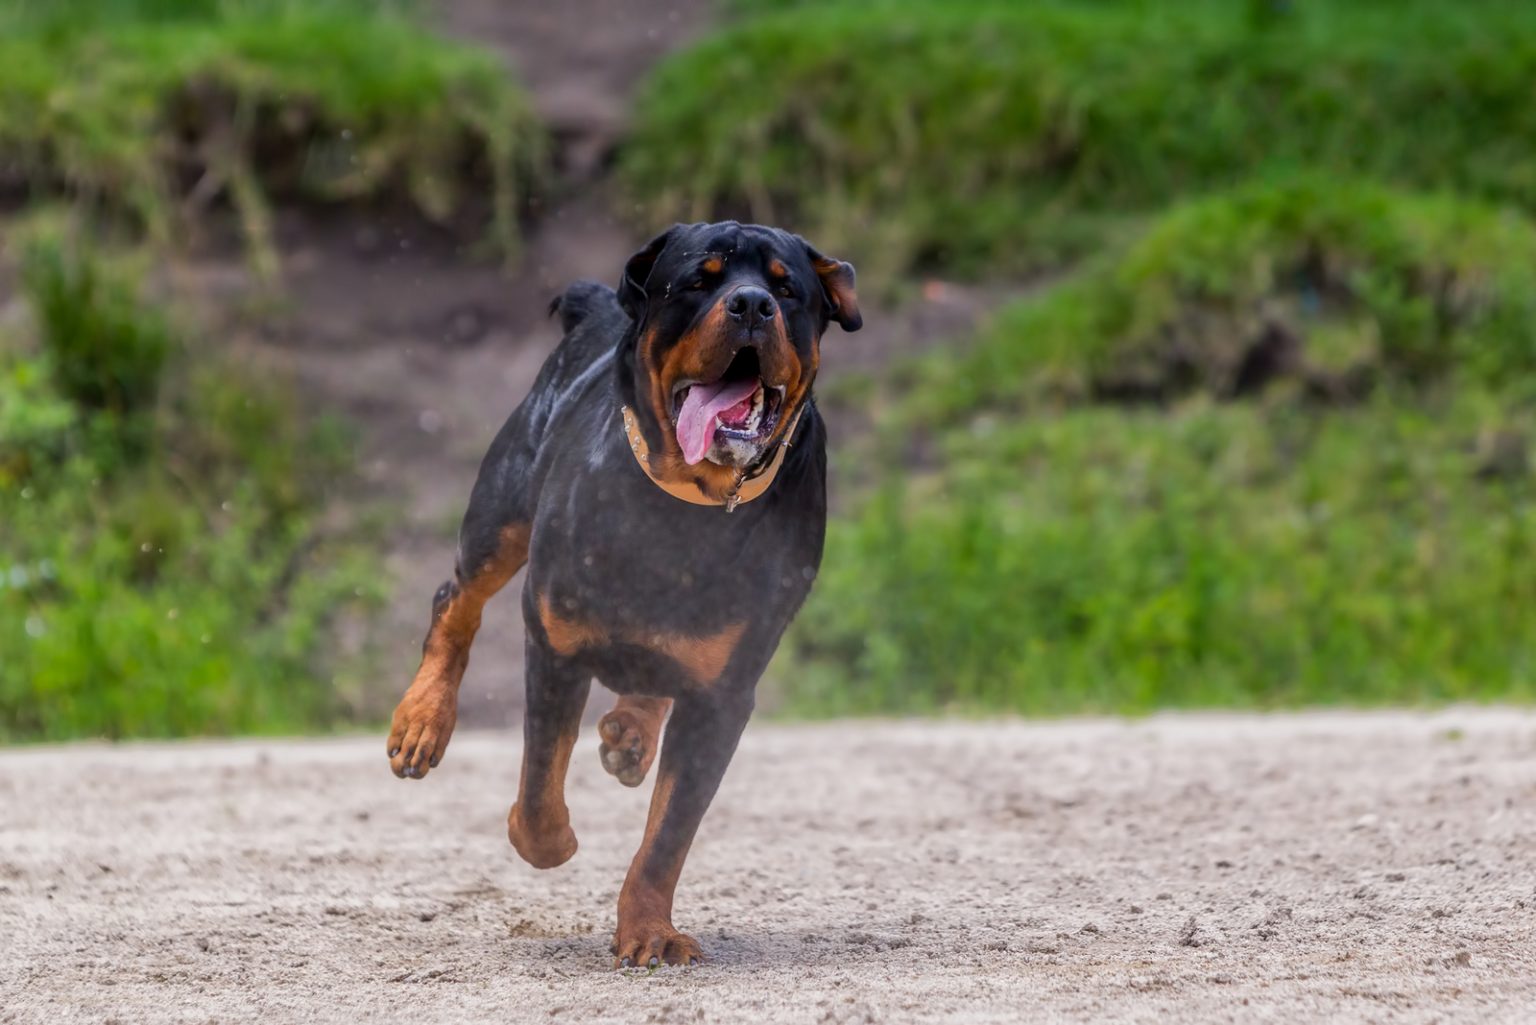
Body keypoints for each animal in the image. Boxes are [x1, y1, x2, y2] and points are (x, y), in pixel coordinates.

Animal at [382, 221, 860, 965]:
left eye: (787, 290)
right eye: (699, 279)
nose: (752, 304)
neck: (687, 505)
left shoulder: (724, 696)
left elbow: (669, 833)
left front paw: (648, 931)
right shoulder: (554, 641)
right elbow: (540, 780)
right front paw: (546, 840)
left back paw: (631, 731)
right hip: (502, 511)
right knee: (455, 597)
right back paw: (422, 719)